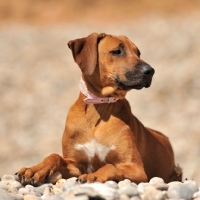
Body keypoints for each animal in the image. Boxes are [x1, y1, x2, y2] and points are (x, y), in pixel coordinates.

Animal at [16, 33, 181, 186]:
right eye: (117, 51)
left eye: (138, 53)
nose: (150, 71)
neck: (100, 106)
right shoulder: (75, 164)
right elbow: (54, 156)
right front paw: (34, 169)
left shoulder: (136, 169)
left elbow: (110, 166)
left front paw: (94, 175)